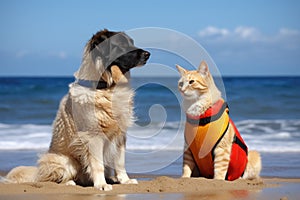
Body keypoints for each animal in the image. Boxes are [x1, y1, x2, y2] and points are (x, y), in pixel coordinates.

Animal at [6, 28, 152, 191]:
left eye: (132, 42)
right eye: (121, 45)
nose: (148, 54)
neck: (106, 86)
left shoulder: (120, 134)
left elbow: (120, 162)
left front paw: (125, 180)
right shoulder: (93, 135)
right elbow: (97, 164)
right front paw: (101, 184)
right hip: (66, 161)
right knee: (57, 177)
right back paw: (70, 182)